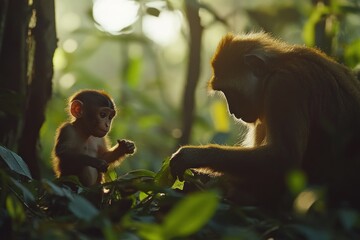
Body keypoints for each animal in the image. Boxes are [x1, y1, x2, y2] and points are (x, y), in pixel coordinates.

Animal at [170, 32, 360, 208]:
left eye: (230, 92)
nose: (232, 112)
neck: (277, 66)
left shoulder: (282, 86)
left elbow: (283, 158)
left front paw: (194, 156)